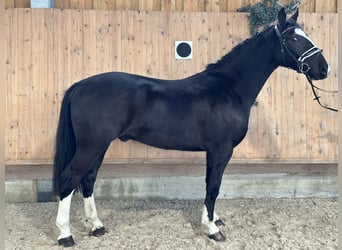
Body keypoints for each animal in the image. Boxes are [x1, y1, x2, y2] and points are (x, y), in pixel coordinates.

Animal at [52, 8, 328, 247]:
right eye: (294, 38)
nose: (323, 68)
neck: (228, 88)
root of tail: (81, 85)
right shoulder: (221, 150)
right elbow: (214, 186)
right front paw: (213, 229)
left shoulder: (213, 152)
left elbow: (210, 184)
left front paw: (212, 219)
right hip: (91, 146)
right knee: (69, 179)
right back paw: (65, 234)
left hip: (99, 147)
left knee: (88, 180)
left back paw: (97, 226)